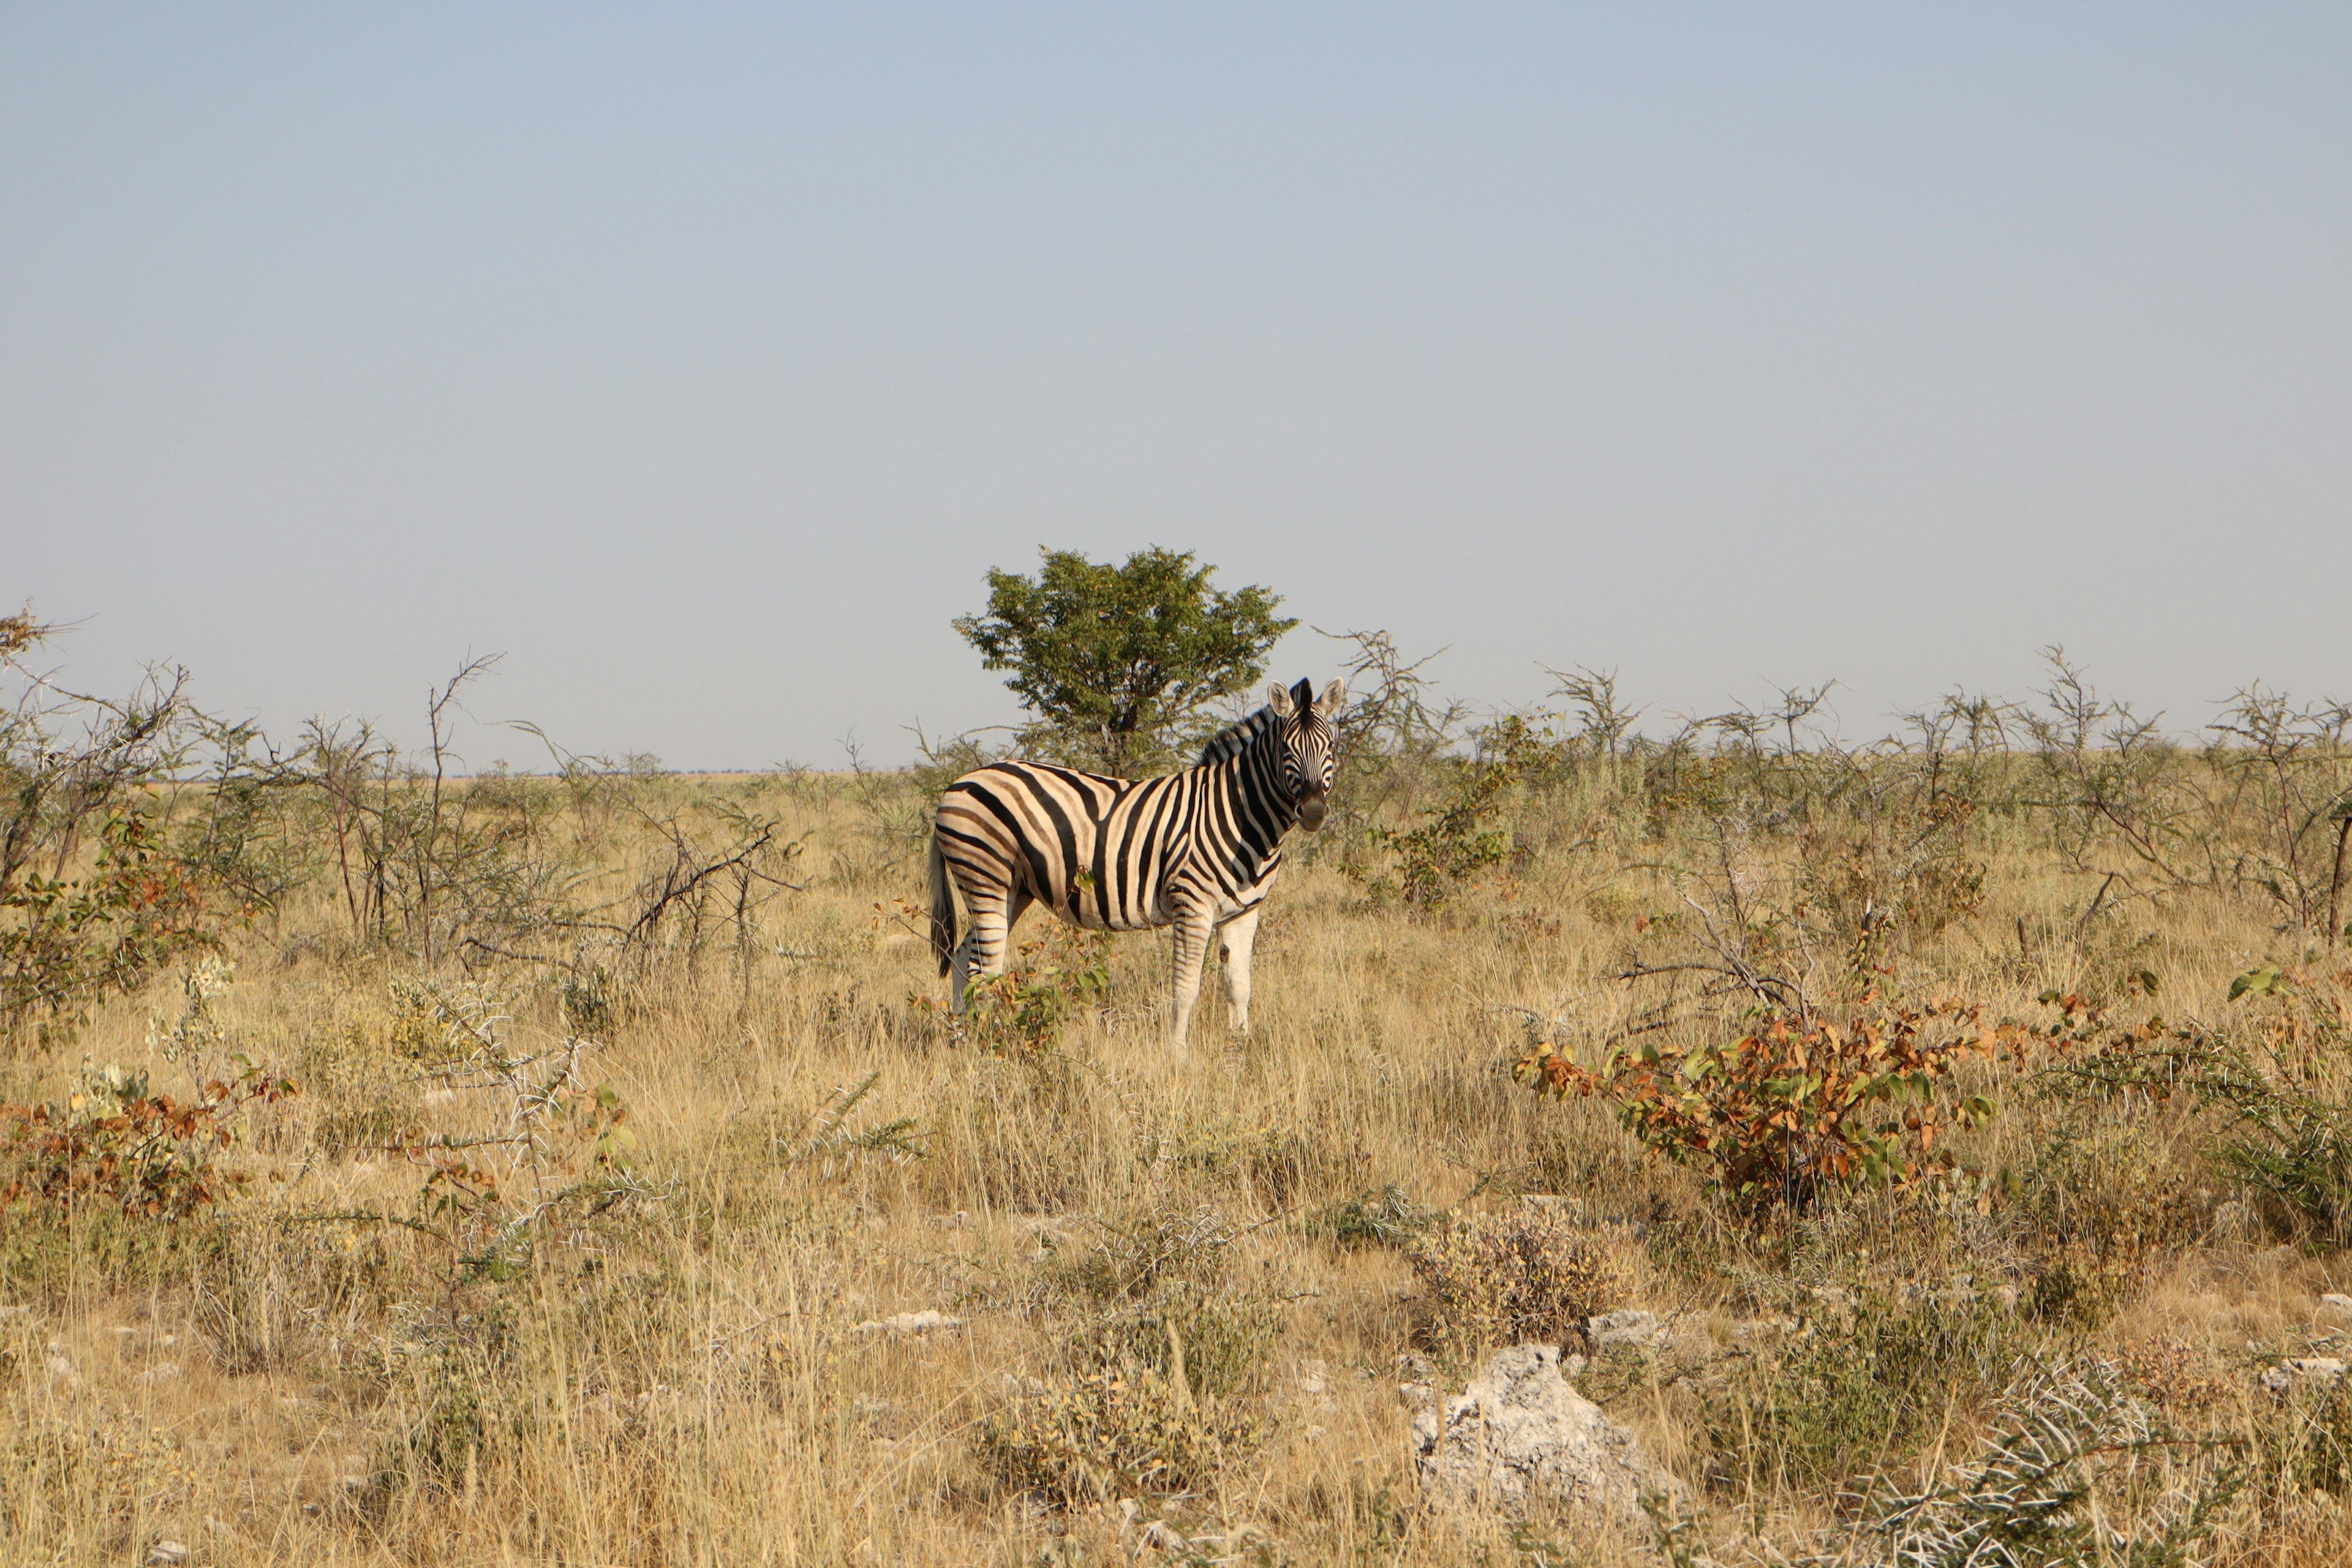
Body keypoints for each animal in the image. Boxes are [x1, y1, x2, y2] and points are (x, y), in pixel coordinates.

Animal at [926, 677, 1354, 1053]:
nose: (1314, 812)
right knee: (985, 971)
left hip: (1013, 891)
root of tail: (956, 784)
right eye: (1287, 750)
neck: (1238, 813)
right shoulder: (1192, 904)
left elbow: (1239, 986)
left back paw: (960, 1041)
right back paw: (990, 1044)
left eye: (1331, 746)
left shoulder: (1245, 911)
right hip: (986, 877)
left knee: (963, 960)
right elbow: (1186, 986)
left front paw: (1241, 1048)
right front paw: (1178, 1054)